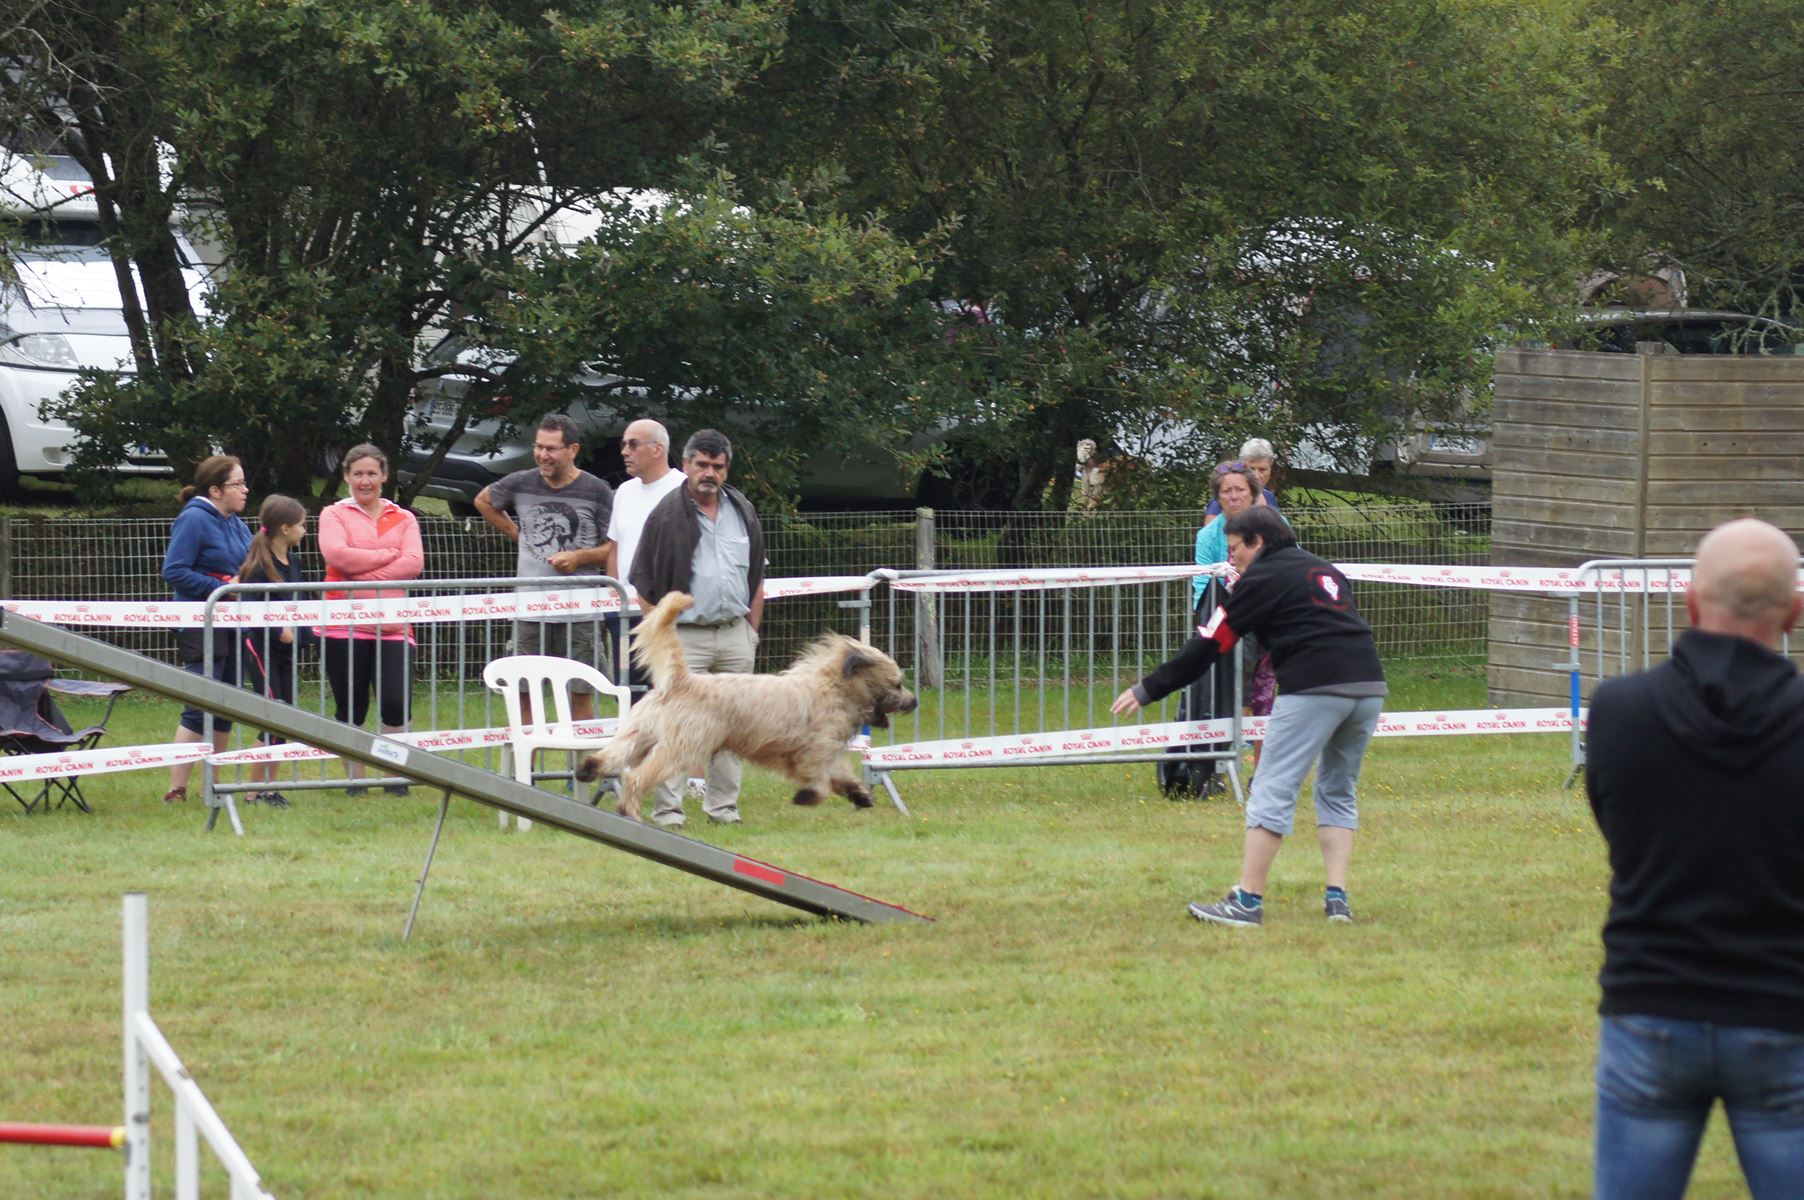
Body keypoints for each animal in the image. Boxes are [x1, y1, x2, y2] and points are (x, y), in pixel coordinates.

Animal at [573, 591, 916, 819]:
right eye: (897, 683)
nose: (913, 702)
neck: (834, 687)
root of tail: (681, 680)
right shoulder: (810, 752)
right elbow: (819, 779)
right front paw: (808, 795)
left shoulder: (825, 753)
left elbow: (840, 773)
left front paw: (859, 794)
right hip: (683, 747)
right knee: (636, 777)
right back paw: (628, 807)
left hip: (639, 733)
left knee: (612, 755)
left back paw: (589, 768)